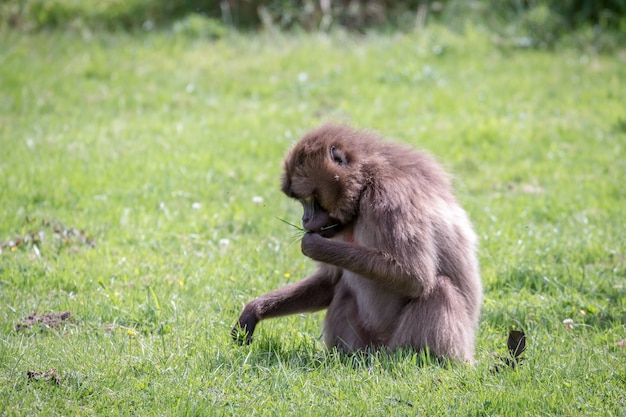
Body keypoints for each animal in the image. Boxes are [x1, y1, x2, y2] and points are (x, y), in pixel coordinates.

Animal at [232, 123, 480, 360]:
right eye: (301, 201)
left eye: (310, 199)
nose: (305, 219)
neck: (364, 183)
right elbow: (330, 281)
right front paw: (254, 310)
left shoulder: (390, 199)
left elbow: (416, 277)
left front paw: (315, 246)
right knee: (344, 291)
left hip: (411, 345)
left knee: (439, 288)